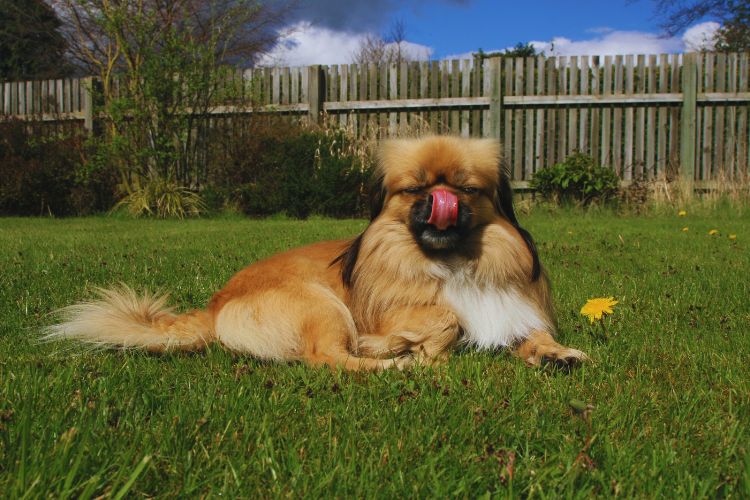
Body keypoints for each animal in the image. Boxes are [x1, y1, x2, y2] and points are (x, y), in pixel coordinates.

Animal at [47, 137, 592, 372]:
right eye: (414, 189)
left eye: (466, 189)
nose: (438, 201)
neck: (452, 263)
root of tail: (216, 305)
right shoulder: (401, 312)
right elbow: (446, 318)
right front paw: (415, 346)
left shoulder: (507, 310)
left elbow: (530, 334)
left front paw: (554, 353)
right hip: (322, 305)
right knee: (328, 359)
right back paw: (395, 363)